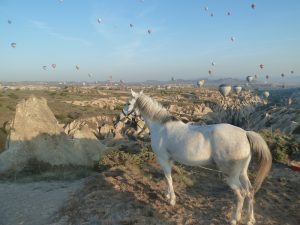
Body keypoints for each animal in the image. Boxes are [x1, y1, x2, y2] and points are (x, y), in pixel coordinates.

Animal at [123, 90, 274, 225]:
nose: (122, 115)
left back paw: (234, 219)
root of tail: (245, 133)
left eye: (129, 102)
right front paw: (167, 194)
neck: (161, 127)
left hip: (231, 176)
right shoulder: (169, 160)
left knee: (241, 194)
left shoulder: (163, 159)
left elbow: (168, 178)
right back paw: (250, 219)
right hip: (242, 173)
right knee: (250, 191)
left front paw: (171, 200)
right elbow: (167, 178)